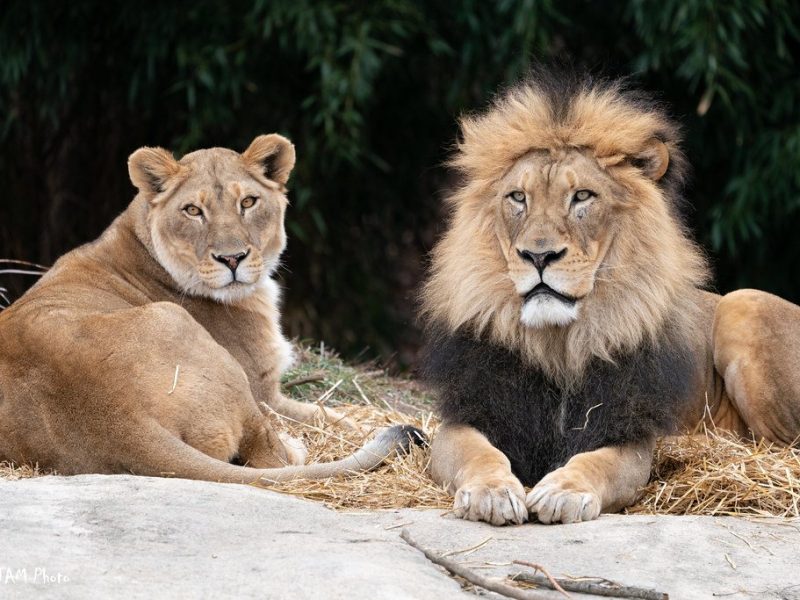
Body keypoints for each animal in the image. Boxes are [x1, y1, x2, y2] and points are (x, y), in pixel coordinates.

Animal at [0, 134, 421, 483]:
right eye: (192, 210)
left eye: (248, 202)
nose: (232, 259)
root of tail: (117, 419)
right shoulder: (266, 391)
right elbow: (334, 417)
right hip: (195, 341)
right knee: (270, 454)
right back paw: (297, 446)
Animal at [420, 70, 800, 526]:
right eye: (518, 198)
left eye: (582, 196)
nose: (538, 256)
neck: (559, 344)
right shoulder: (470, 413)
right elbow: (478, 453)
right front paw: (491, 492)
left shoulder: (628, 432)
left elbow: (596, 462)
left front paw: (564, 491)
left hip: (744, 304)